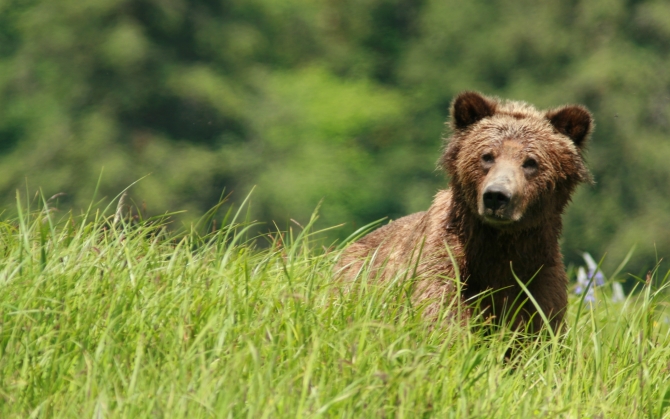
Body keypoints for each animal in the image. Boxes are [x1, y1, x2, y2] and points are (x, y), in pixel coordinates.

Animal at [338, 92, 596, 334]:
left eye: (531, 162)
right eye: (487, 156)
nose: (496, 195)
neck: (498, 247)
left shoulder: (540, 277)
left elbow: (539, 328)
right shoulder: (444, 261)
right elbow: (438, 313)